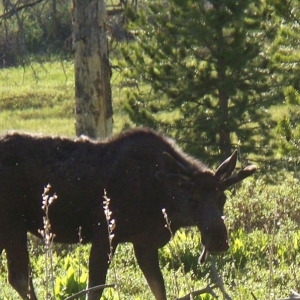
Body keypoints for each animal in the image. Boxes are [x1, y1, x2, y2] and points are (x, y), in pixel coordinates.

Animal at [0, 127, 255, 300]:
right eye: (192, 199)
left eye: (223, 198)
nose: (219, 240)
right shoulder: (105, 235)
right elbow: (95, 288)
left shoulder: (144, 244)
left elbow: (159, 288)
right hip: (12, 223)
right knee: (20, 277)